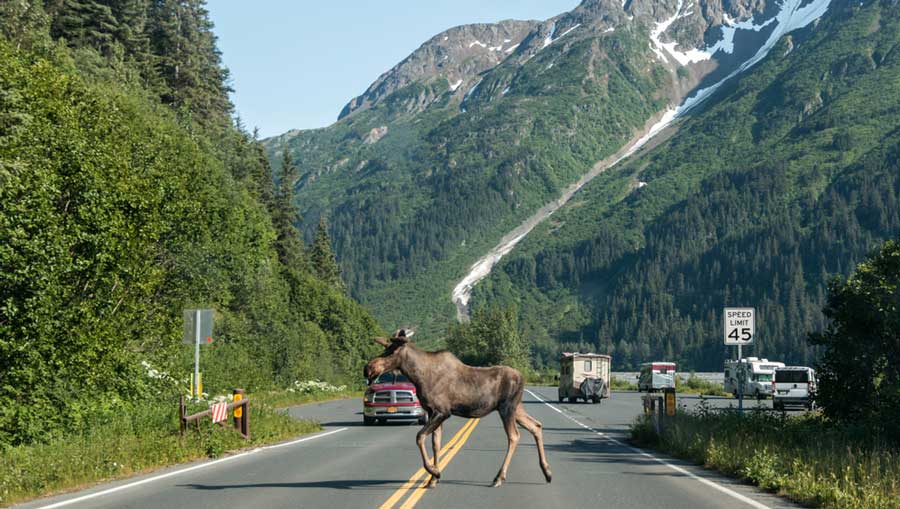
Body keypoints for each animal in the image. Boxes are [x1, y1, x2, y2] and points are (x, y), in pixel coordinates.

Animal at [364, 329, 552, 488]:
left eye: (393, 351)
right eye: (385, 348)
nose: (368, 368)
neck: (418, 376)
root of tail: (522, 378)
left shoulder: (442, 411)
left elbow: (419, 437)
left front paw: (434, 472)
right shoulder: (432, 412)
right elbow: (436, 444)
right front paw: (433, 479)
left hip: (507, 408)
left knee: (514, 436)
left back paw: (499, 477)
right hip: (516, 408)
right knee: (536, 425)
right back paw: (547, 472)